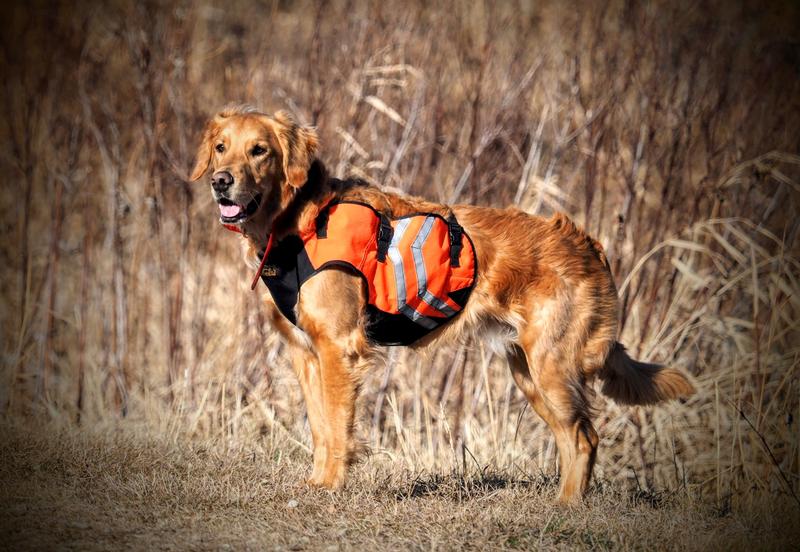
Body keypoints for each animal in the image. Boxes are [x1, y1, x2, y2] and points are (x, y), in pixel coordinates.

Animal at [189, 105, 692, 502]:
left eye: (259, 150)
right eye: (221, 147)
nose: (220, 182)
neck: (300, 223)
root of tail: (588, 244)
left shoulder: (339, 348)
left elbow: (336, 425)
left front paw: (331, 485)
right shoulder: (306, 354)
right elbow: (319, 427)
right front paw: (315, 484)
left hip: (552, 367)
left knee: (584, 436)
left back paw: (567, 508)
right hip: (529, 372)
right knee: (574, 438)